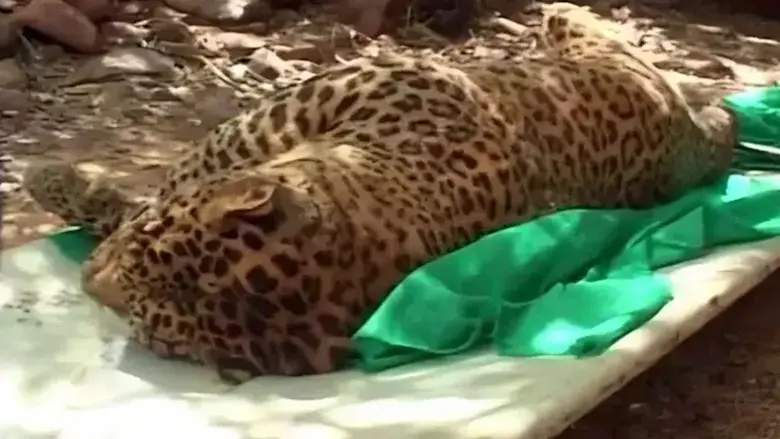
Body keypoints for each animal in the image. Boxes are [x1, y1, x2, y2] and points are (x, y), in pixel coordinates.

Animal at [22, 7, 738, 384]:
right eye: (147, 251)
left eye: (148, 325)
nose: (88, 280)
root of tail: (693, 140)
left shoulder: (276, 118)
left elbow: (182, 170)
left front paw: (50, 180)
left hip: (582, 33)